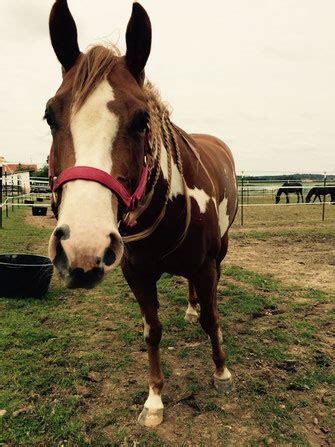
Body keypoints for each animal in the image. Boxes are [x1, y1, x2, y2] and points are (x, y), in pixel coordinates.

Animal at [46, 0, 239, 428]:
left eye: (140, 121)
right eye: (50, 116)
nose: (83, 248)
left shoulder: (205, 267)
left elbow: (212, 319)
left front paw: (221, 372)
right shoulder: (137, 274)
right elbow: (152, 330)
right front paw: (154, 399)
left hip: (221, 250)